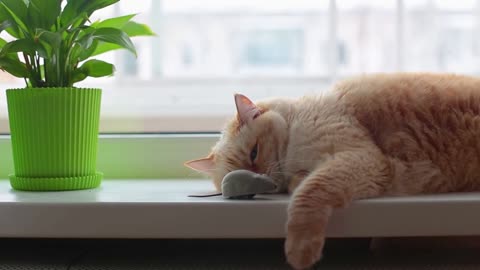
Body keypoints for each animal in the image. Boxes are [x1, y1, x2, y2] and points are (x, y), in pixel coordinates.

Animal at [185, 73, 480, 268]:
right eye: (233, 175)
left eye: (254, 153)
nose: (260, 179)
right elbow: (303, 184)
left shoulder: (361, 159)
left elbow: (308, 195)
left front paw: (300, 253)